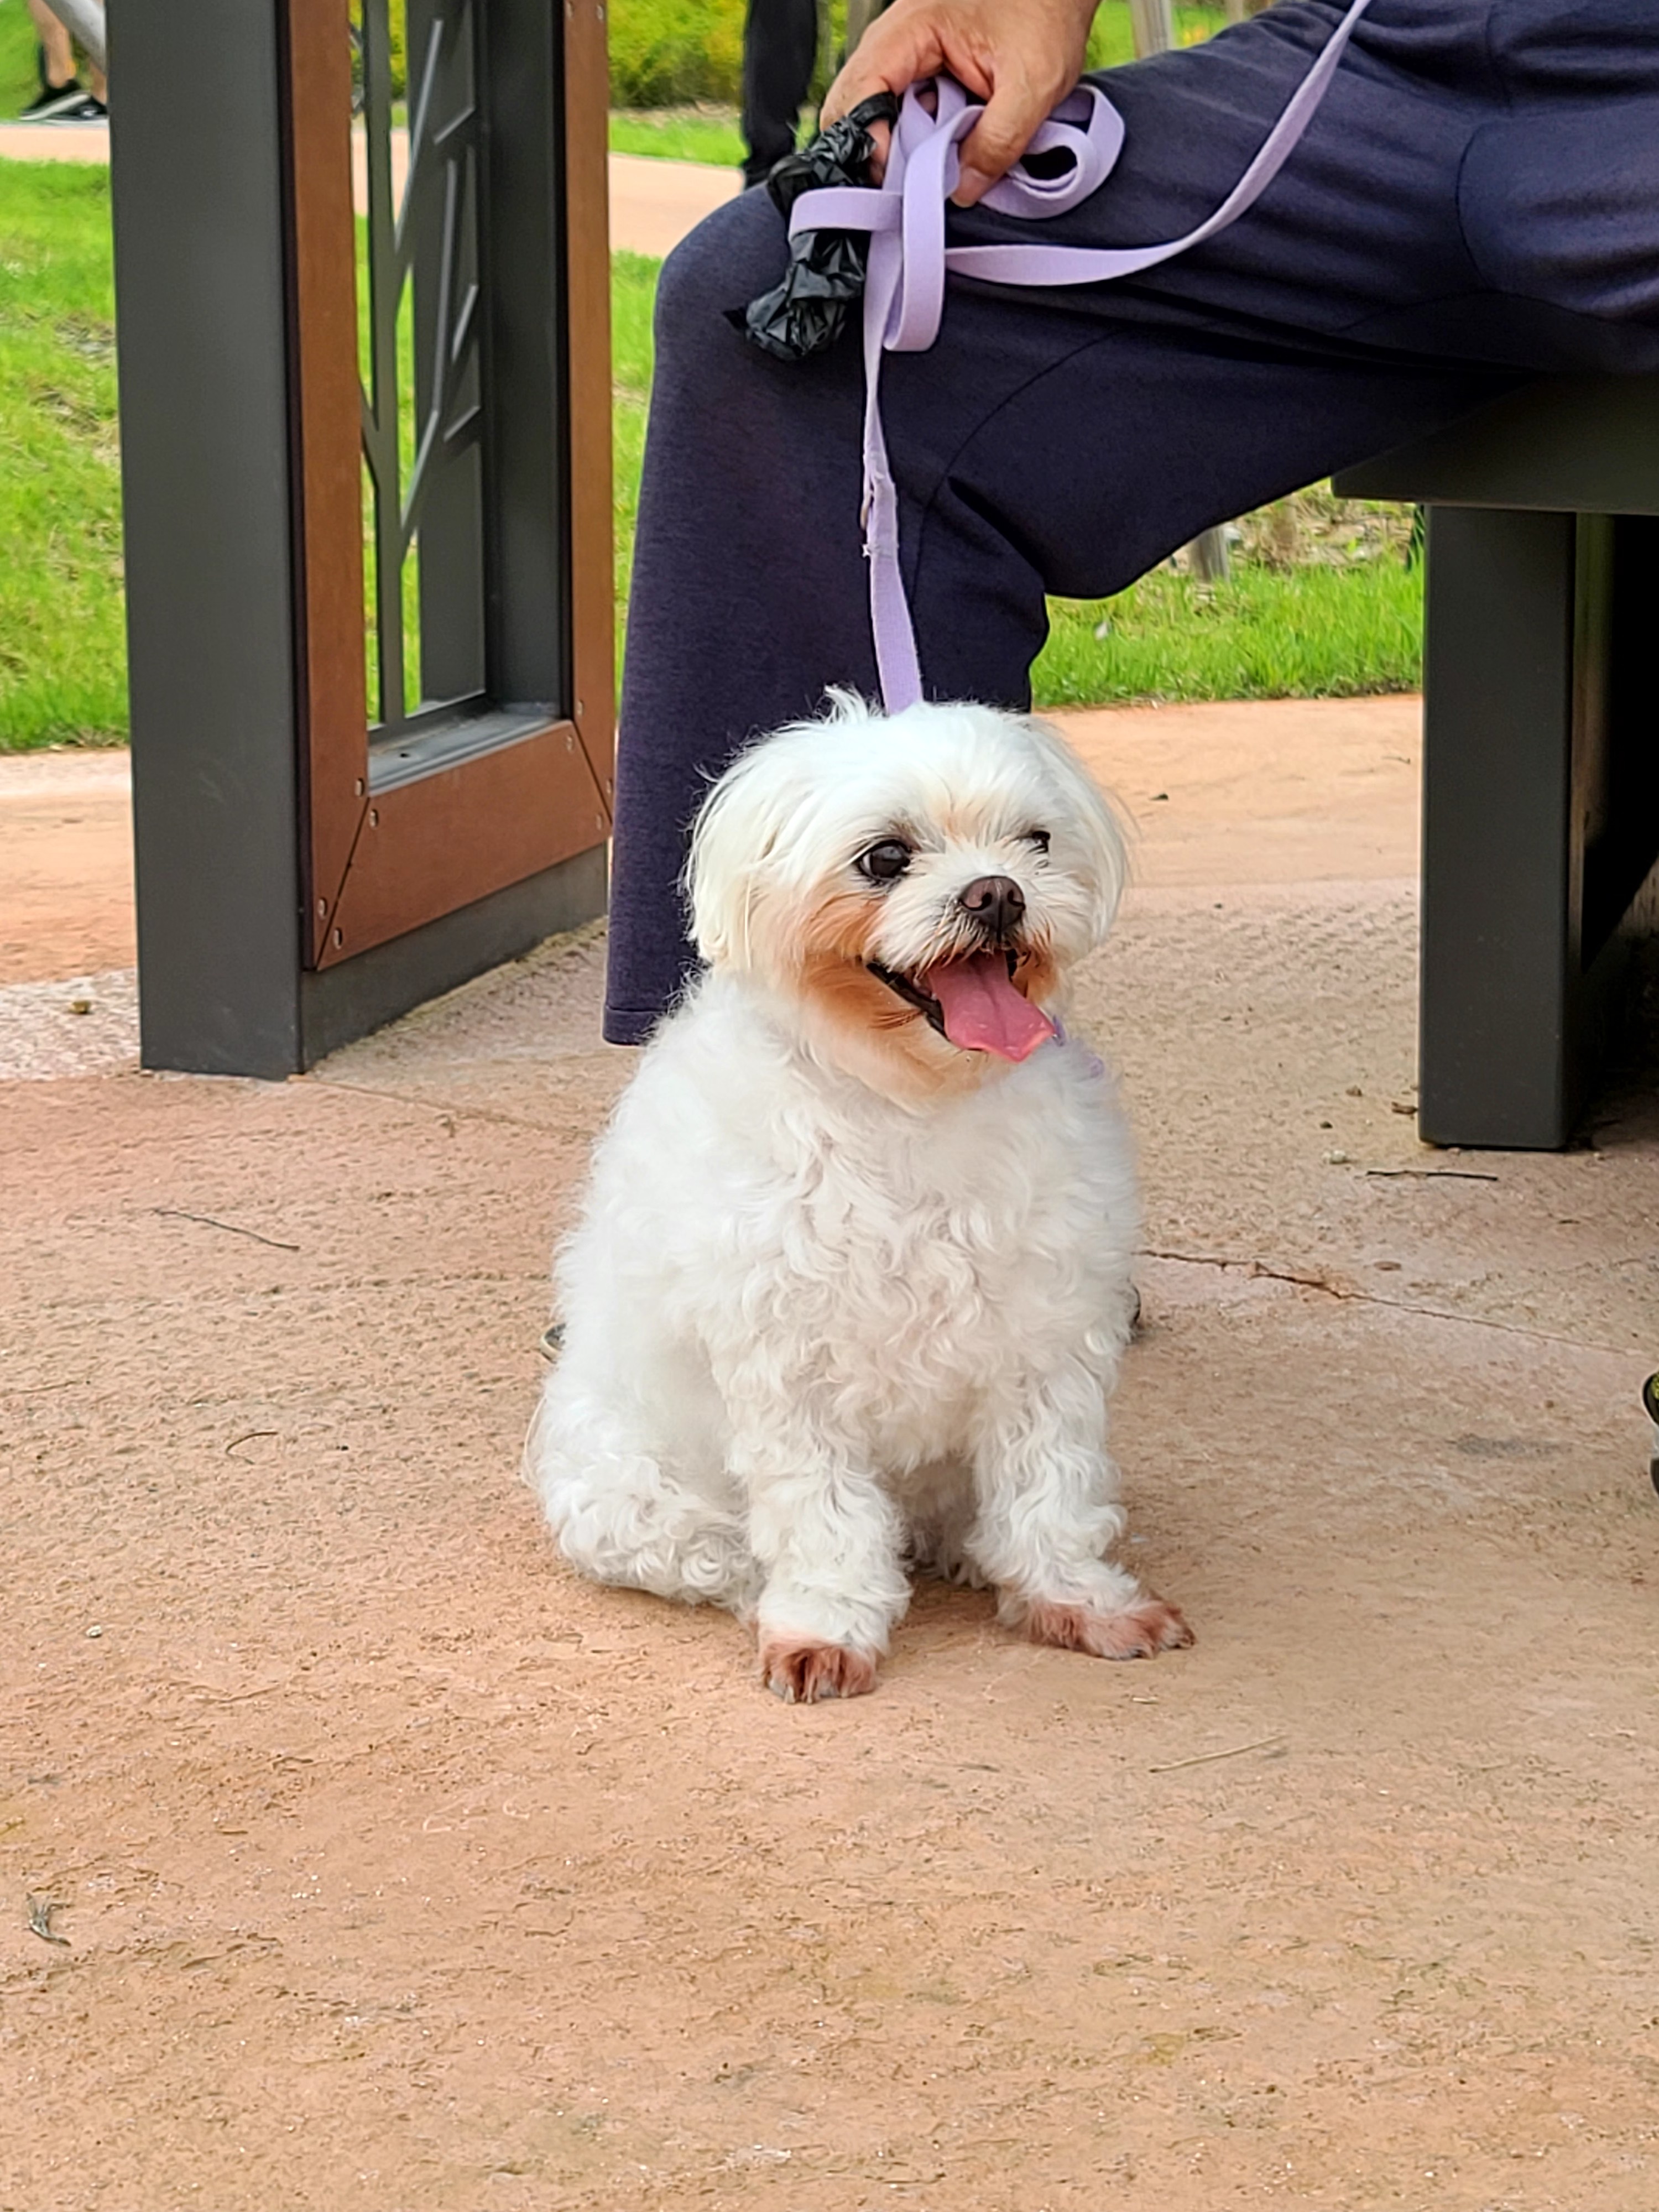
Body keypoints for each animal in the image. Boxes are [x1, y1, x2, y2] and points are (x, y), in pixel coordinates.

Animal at [526, 696, 1192, 1699]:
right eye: (884, 857)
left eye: (1035, 840)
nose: (998, 894)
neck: (907, 1103)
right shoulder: (788, 1369)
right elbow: (822, 1516)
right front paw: (826, 1623)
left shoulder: (1044, 1341)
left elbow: (1051, 1489)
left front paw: (1075, 1599)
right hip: (627, 1490)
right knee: (722, 1551)